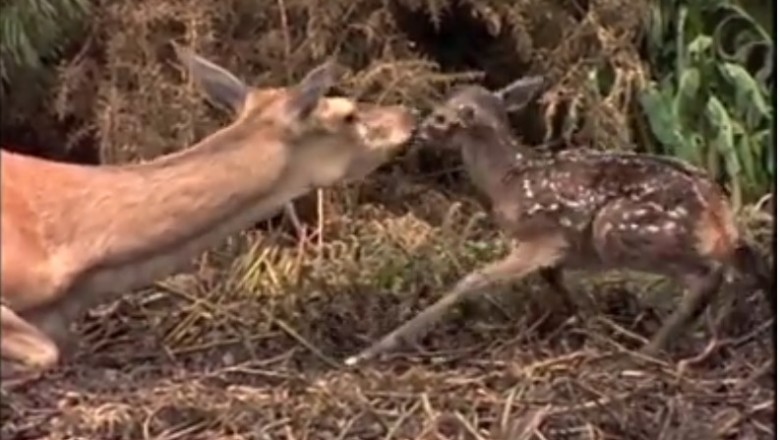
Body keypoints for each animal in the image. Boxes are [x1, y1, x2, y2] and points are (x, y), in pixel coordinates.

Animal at [348, 77, 772, 366]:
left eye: (440, 116)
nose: (416, 134)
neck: (506, 179)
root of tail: (718, 210)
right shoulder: (563, 248)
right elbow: (557, 281)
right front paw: (590, 325)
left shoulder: (543, 235)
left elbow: (473, 279)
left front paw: (375, 349)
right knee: (739, 266)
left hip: (620, 229)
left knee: (707, 276)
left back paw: (649, 352)